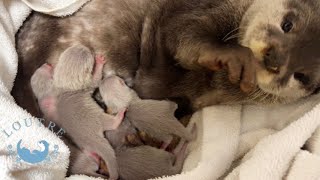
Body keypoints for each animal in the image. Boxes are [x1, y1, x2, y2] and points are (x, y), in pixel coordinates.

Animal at [13, 0, 320, 115]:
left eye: (303, 76)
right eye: (288, 24)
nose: (274, 59)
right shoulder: (197, 10)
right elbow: (181, 35)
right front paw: (232, 55)